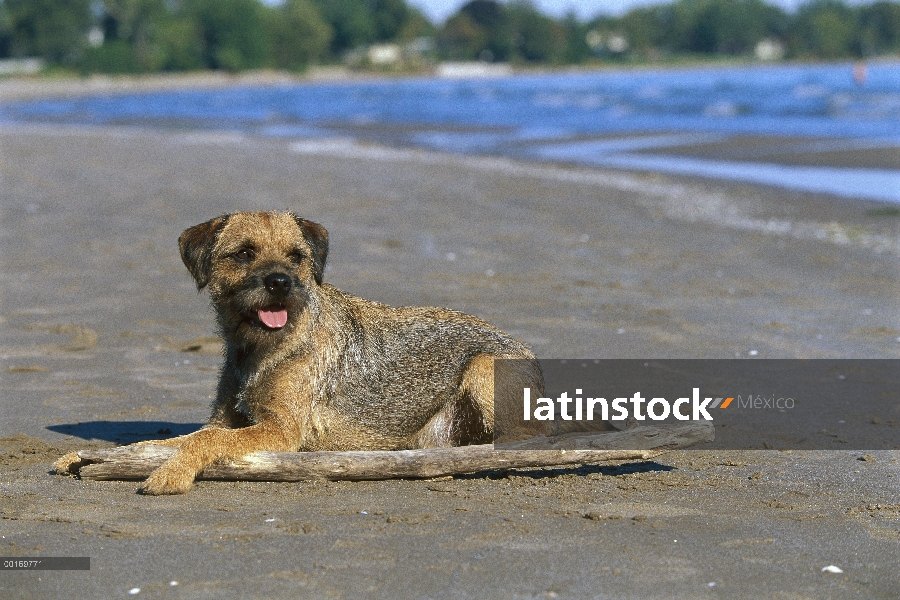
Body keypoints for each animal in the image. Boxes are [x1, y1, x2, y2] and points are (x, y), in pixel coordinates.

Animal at [58, 210, 548, 492]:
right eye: (243, 254)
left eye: (297, 256)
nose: (279, 282)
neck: (262, 348)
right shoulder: (227, 419)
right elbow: (172, 440)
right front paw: (81, 457)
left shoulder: (282, 431)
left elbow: (208, 440)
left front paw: (170, 474)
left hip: (484, 367)